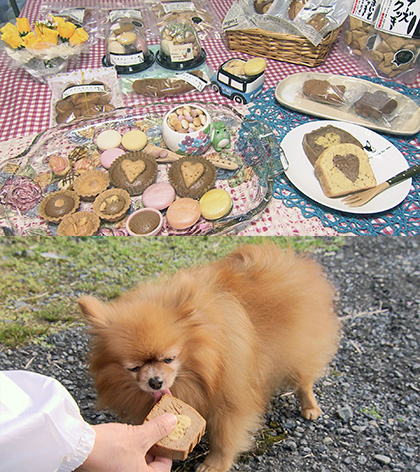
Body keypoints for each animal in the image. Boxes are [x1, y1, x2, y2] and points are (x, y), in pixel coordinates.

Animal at [79, 243, 340, 472]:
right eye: (133, 368)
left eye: (169, 359)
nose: (155, 382)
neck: (206, 360)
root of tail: (293, 261)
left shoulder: (231, 399)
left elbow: (224, 438)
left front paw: (214, 464)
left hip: (299, 351)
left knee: (304, 380)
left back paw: (310, 407)